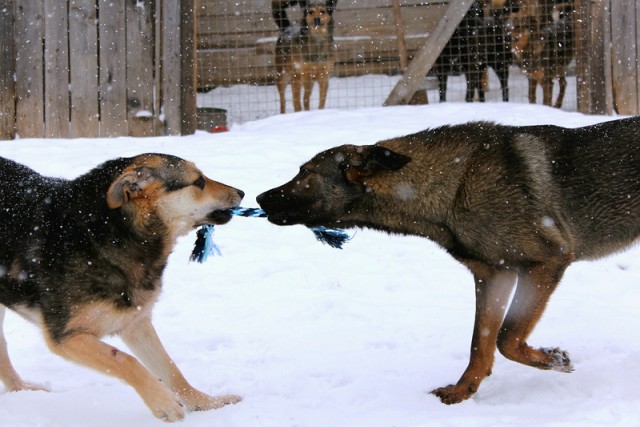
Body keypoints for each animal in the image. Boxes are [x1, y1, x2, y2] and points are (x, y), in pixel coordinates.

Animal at [0, 155, 245, 422]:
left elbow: (170, 369)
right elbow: (124, 361)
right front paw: (162, 402)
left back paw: (22, 389)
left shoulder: (135, 322)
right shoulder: (65, 336)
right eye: (199, 181)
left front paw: (206, 403)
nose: (241, 192)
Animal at [258, 118, 640, 406]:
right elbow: (481, 342)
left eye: (306, 173)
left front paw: (553, 360)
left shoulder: (546, 261)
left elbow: (506, 338)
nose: (259, 197)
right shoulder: (494, 275)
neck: (455, 183)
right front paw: (463, 391)